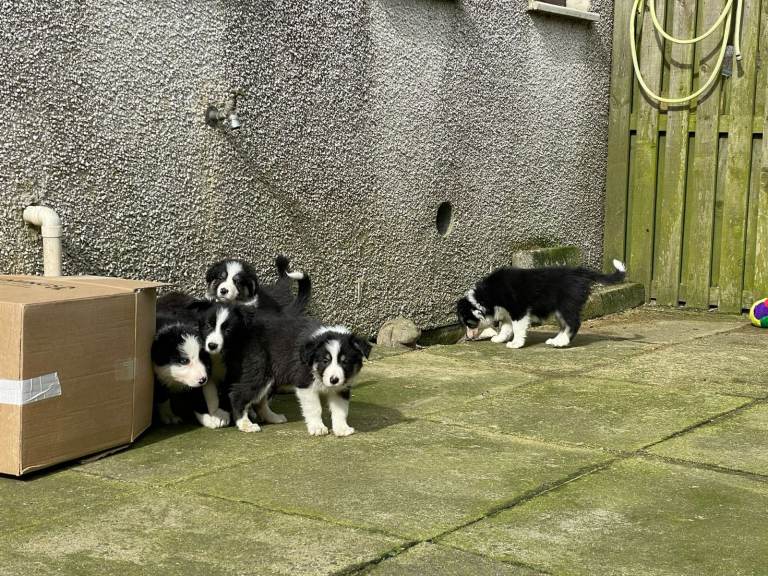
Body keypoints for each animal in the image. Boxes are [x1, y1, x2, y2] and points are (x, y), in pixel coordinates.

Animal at [456, 259, 626, 349]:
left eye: (469, 324)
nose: (468, 337)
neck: (486, 296)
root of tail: (580, 272)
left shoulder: (518, 310)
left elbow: (517, 328)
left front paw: (516, 343)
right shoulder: (507, 313)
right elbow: (505, 327)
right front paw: (500, 338)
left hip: (567, 305)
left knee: (573, 323)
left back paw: (562, 342)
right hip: (560, 309)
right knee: (565, 325)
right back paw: (556, 340)